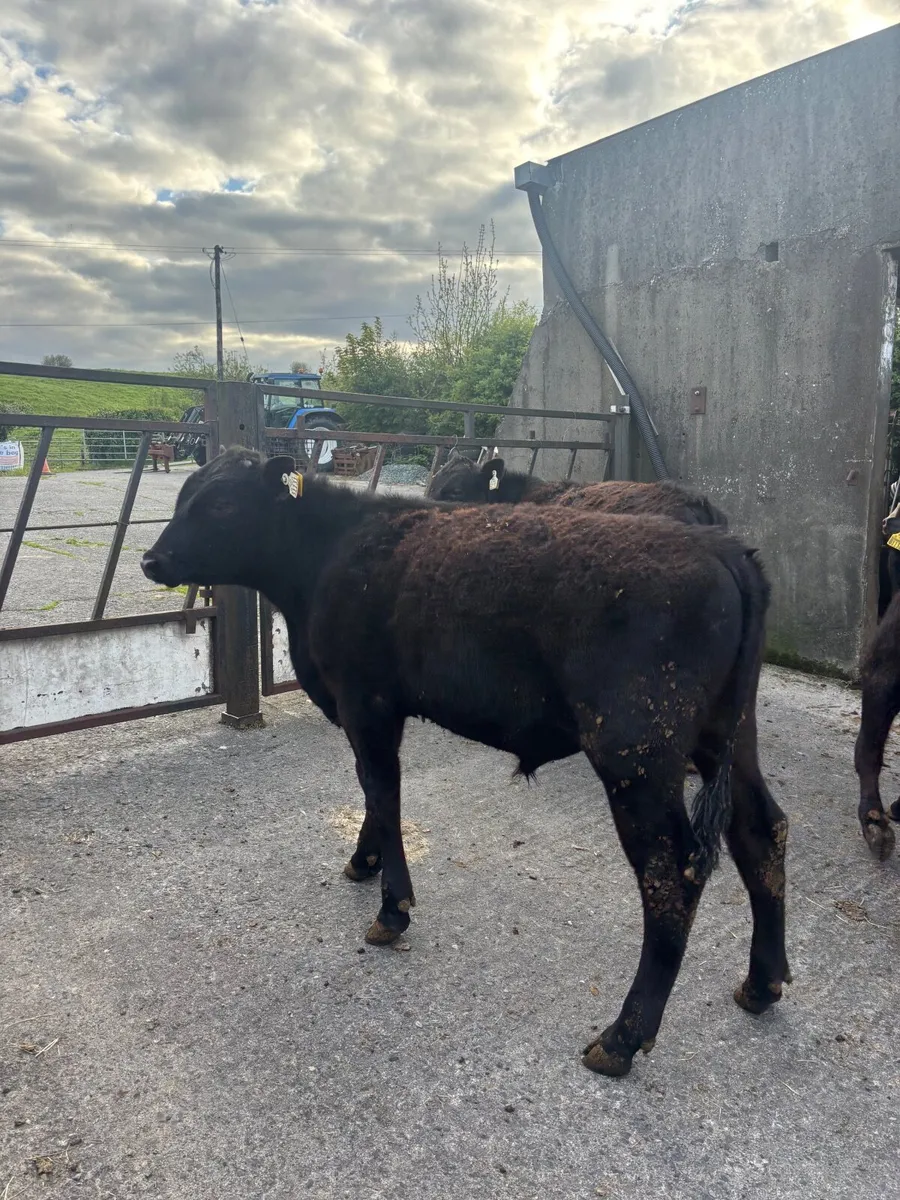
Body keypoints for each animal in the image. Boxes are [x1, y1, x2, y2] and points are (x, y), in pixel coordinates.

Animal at [141, 449, 789, 1078]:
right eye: (185, 495)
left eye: (222, 504)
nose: (152, 559)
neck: (329, 554)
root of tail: (723, 549)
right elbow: (374, 791)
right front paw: (363, 862)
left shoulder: (365, 700)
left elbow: (382, 789)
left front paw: (392, 907)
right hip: (726, 736)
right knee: (761, 830)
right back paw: (762, 983)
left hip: (638, 752)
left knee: (670, 874)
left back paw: (623, 1037)